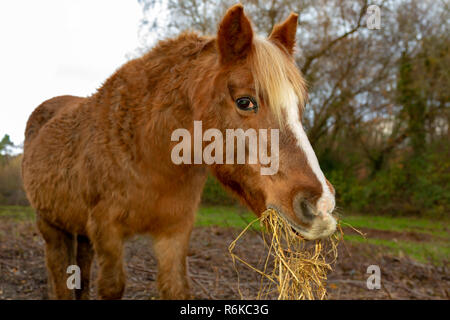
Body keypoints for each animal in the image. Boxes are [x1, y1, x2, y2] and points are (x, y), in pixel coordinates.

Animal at [22, 4, 336, 300]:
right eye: (245, 101)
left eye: (300, 106)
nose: (321, 204)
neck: (145, 155)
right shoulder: (106, 233)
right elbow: (111, 286)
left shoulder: (174, 233)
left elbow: (176, 287)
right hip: (51, 227)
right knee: (59, 274)